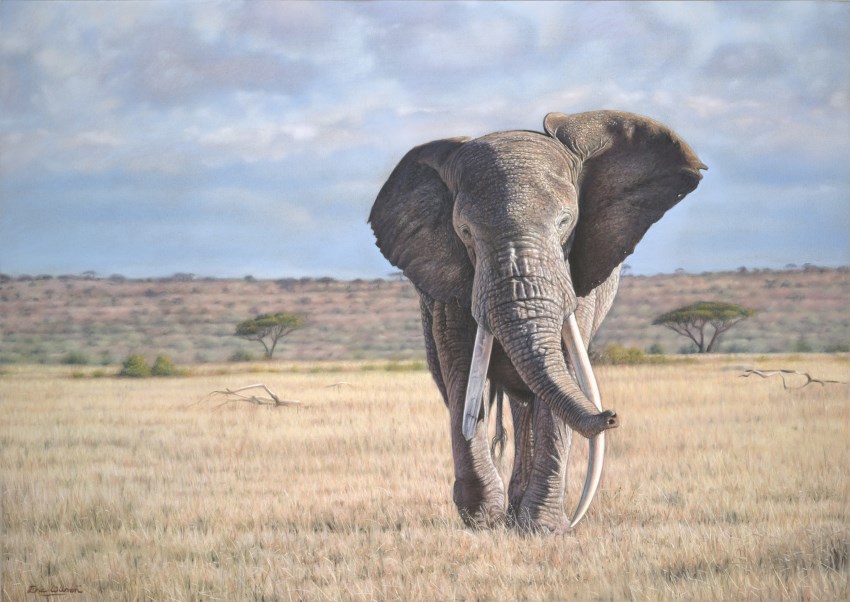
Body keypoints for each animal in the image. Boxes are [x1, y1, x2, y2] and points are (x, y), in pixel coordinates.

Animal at [369, 110, 706, 532]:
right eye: (464, 231)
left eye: (566, 221)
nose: (610, 416)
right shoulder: (449, 279)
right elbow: (459, 365)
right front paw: (482, 519)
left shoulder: (577, 272)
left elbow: (565, 360)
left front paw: (543, 529)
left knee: (530, 397)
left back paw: (519, 515)